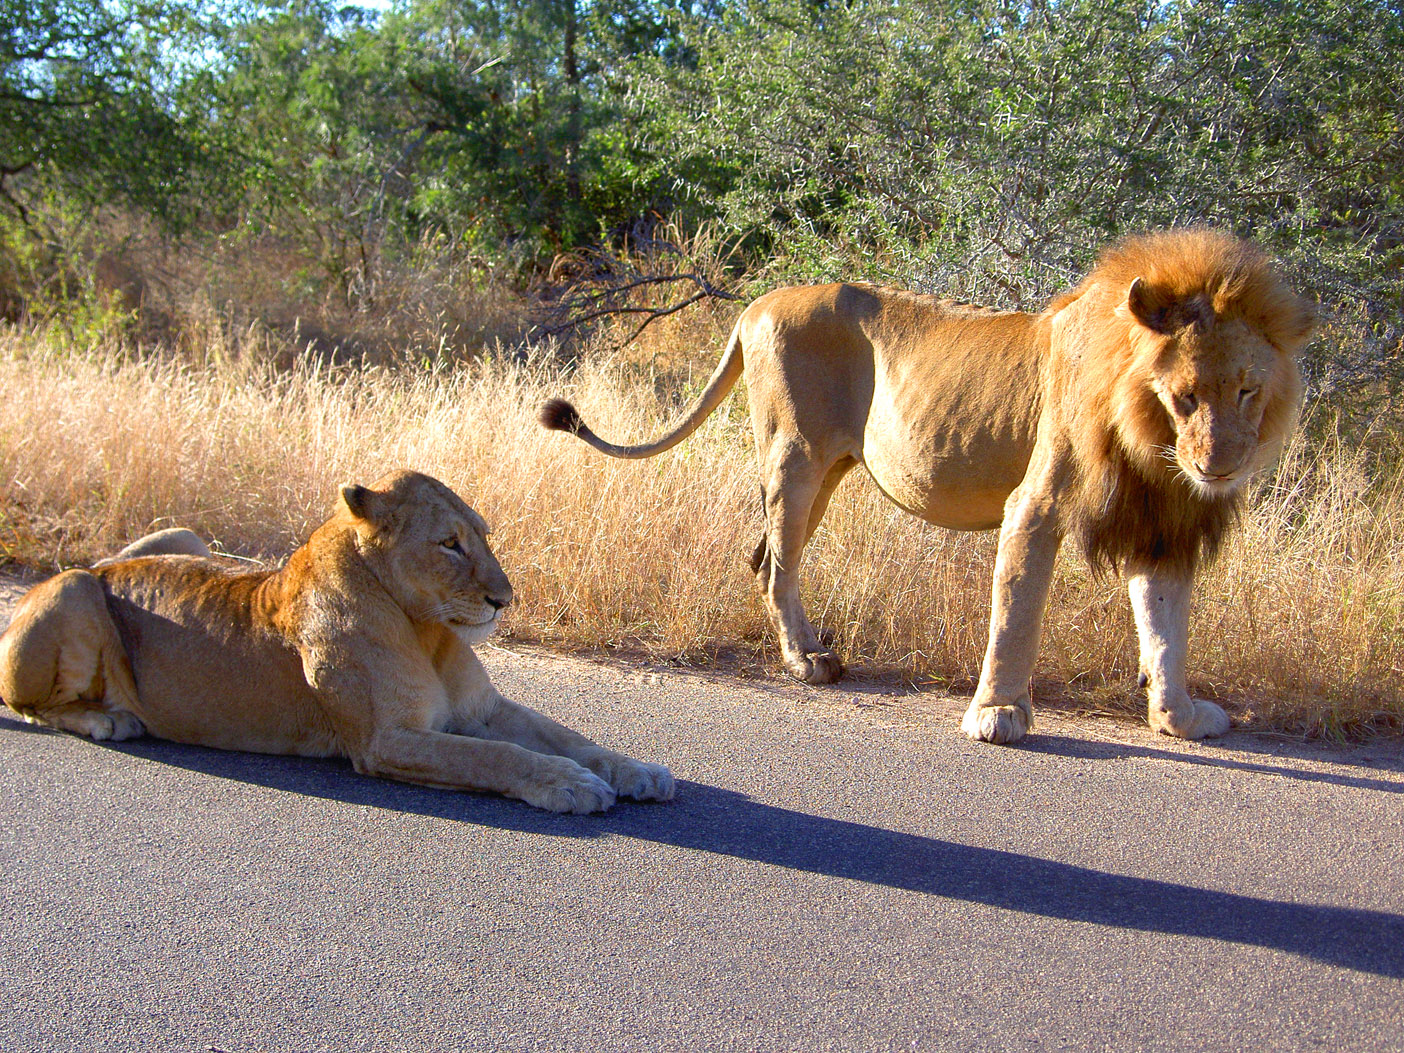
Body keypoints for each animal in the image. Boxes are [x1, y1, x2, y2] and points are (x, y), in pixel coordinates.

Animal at [0, 471, 673, 814]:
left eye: (483, 535)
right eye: (449, 544)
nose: (503, 600)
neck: (426, 628)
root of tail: (102, 564)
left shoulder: (482, 710)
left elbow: (569, 737)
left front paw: (636, 772)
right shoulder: (385, 740)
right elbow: (498, 757)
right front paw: (569, 786)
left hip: (183, 536)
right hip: (76, 588)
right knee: (31, 704)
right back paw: (109, 720)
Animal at [539, 230, 1314, 746]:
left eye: (1247, 390)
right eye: (1185, 395)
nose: (1221, 466)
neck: (1150, 440)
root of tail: (757, 302)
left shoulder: (1162, 523)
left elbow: (1165, 627)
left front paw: (1177, 715)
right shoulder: (1036, 502)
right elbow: (1016, 613)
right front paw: (998, 715)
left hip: (828, 468)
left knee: (763, 558)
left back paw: (809, 647)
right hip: (795, 456)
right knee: (779, 565)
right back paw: (805, 661)